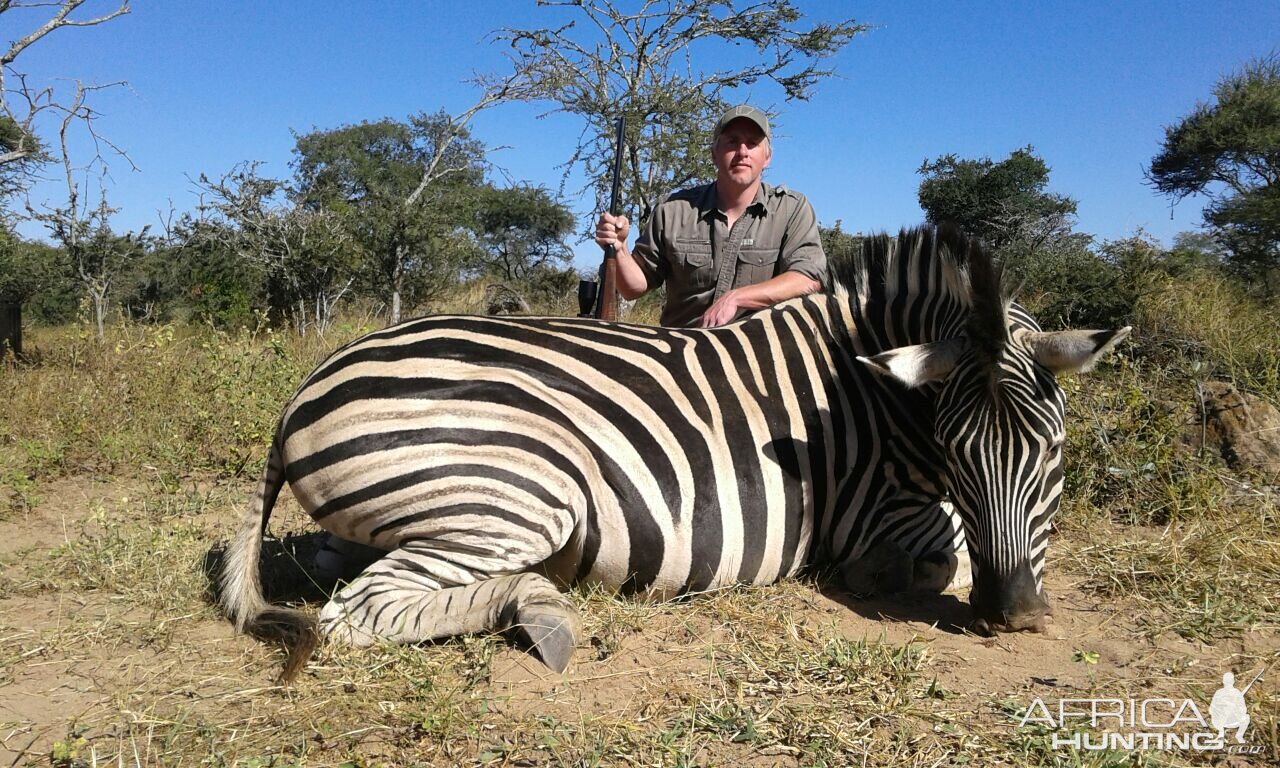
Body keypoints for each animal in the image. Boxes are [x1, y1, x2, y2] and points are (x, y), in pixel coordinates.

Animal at [220, 225, 1131, 680]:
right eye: (955, 449)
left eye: (1053, 451)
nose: (1017, 616)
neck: (870, 389)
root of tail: (305, 387)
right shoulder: (887, 518)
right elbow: (948, 558)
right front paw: (926, 576)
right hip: (521, 491)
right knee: (356, 612)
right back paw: (541, 609)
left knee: (342, 568)